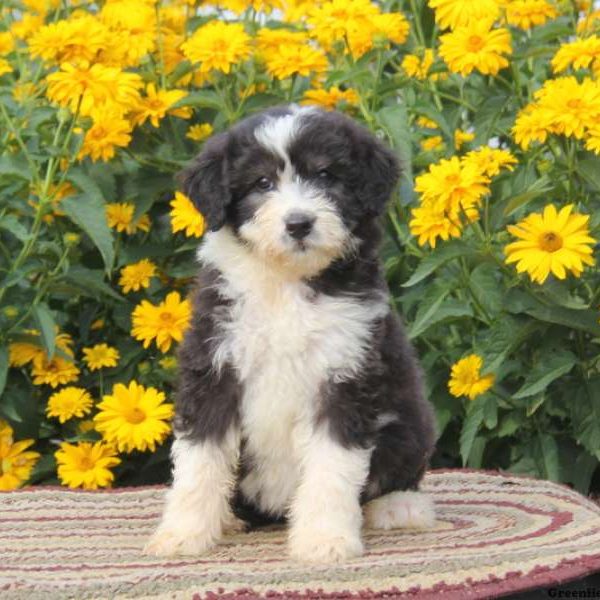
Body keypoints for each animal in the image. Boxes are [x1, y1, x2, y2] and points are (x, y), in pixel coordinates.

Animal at [145, 106, 436, 564]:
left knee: (396, 473)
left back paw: (400, 506)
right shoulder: (214, 369)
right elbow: (199, 461)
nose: (299, 223)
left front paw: (324, 540)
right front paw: (183, 534)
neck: (284, 285)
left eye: (325, 175)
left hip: (410, 421)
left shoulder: (344, 378)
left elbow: (332, 469)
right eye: (262, 183)